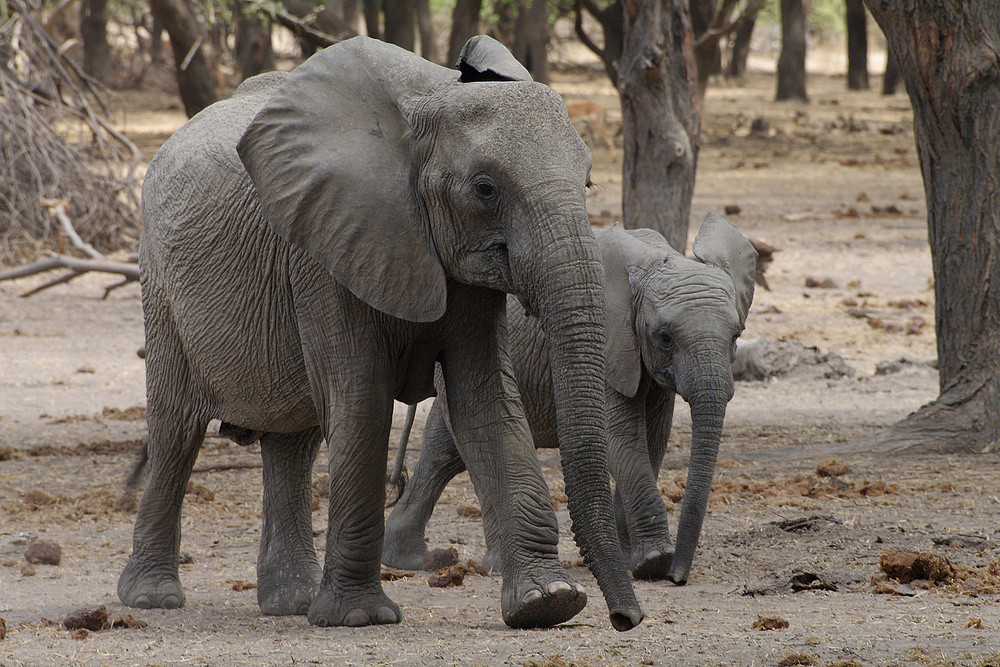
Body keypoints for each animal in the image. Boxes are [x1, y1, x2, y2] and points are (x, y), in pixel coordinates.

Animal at [119, 35, 648, 632]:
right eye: (485, 189)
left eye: (587, 182)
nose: (626, 618)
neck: (429, 103)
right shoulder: (324, 246)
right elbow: (362, 401)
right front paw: (359, 618)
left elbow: (486, 403)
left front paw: (547, 603)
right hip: (160, 286)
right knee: (175, 432)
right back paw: (153, 599)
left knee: (291, 442)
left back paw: (291, 602)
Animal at [384, 217, 756, 588]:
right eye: (665, 337)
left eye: (736, 336)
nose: (678, 577)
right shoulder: (609, 344)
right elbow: (621, 440)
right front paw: (654, 561)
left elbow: (652, 441)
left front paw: (633, 561)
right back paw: (492, 564)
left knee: (443, 452)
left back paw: (408, 558)